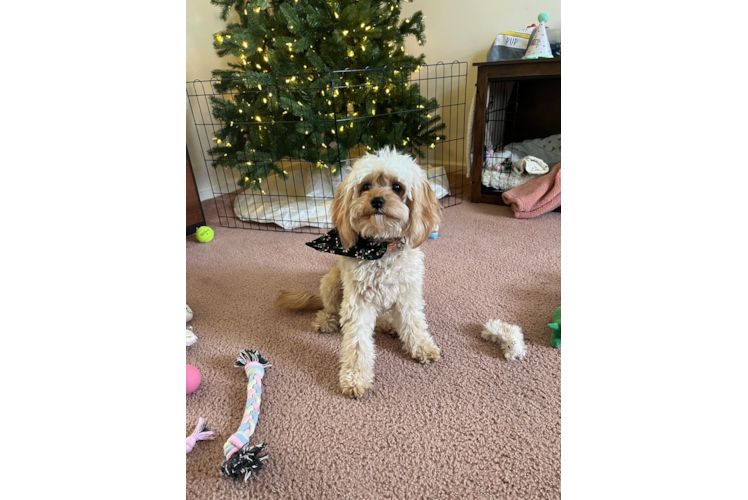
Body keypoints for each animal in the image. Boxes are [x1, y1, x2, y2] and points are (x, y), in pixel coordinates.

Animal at [276, 146, 442, 398]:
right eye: (366, 186)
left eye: (397, 187)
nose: (377, 200)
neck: (380, 248)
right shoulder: (357, 303)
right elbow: (357, 344)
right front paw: (355, 377)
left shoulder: (407, 293)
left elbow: (414, 323)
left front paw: (421, 346)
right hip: (331, 281)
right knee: (330, 308)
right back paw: (327, 320)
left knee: (384, 316)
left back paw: (388, 324)